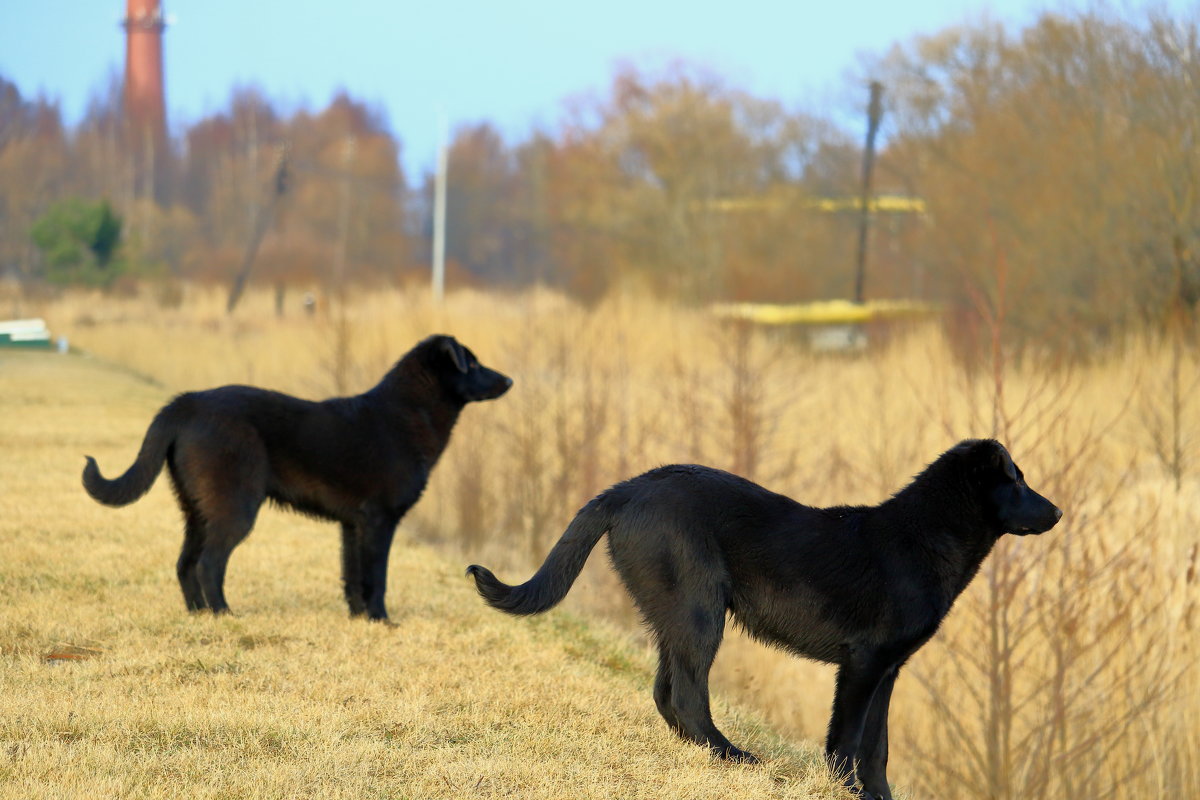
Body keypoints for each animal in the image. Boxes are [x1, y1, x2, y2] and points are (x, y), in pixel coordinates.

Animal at [85, 331, 511, 618]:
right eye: (472, 363)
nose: (508, 380)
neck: (407, 414)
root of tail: (186, 402)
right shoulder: (379, 520)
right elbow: (377, 577)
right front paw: (381, 620)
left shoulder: (352, 525)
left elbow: (352, 576)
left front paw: (358, 618)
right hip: (235, 508)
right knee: (209, 563)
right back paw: (224, 613)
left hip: (197, 510)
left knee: (185, 563)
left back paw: (199, 614)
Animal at [468, 441, 1060, 796]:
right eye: (1017, 480)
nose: (1056, 511)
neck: (924, 538)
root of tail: (628, 488)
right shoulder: (864, 663)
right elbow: (848, 740)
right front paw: (844, 791)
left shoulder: (889, 669)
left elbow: (879, 747)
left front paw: (876, 796)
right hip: (700, 611)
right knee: (688, 696)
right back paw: (737, 758)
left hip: (676, 615)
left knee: (666, 693)